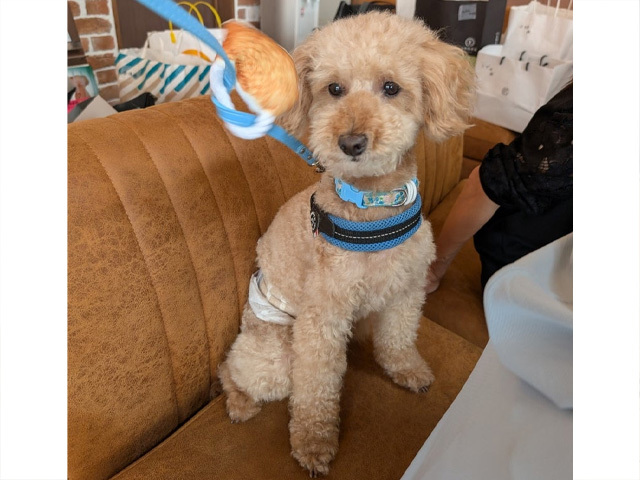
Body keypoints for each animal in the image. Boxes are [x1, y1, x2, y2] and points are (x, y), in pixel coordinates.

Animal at [218, 11, 474, 477]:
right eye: (333, 89)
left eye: (391, 87)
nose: (351, 142)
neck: (372, 204)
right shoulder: (323, 317)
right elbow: (316, 387)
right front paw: (314, 443)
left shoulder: (405, 291)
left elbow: (398, 338)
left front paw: (407, 370)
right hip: (275, 356)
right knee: (233, 370)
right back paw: (240, 404)